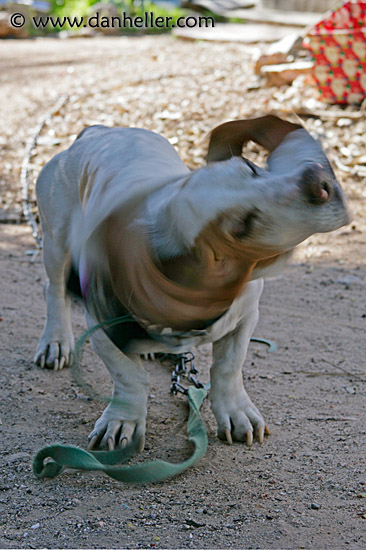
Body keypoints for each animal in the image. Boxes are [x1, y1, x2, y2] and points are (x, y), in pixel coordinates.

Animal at [33, 115, 348, 452]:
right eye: (243, 225)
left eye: (251, 167)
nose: (315, 177)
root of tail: (96, 132)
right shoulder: (105, 333)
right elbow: (129, 377)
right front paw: (122, 421)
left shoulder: (245, 318)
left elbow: (228, 368)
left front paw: (236, 413)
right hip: (56, 241)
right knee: (54, 289)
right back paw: (55, 342)